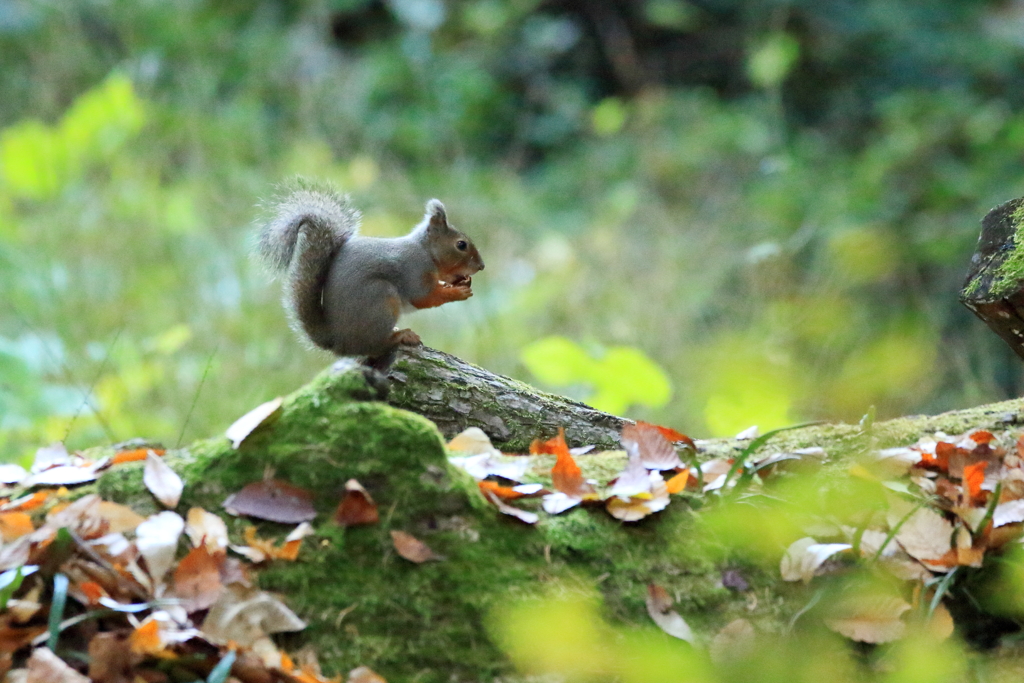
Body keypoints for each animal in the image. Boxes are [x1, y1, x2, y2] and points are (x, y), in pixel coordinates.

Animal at [253, 179, 481, 366]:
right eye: (461, 245)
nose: (481, 266)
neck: (425, 251)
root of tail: (339, 343)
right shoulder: (414, 270)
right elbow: (424, 297)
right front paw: (458, 293)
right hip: (380, 299)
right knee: (375, 346)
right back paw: (400, 336)